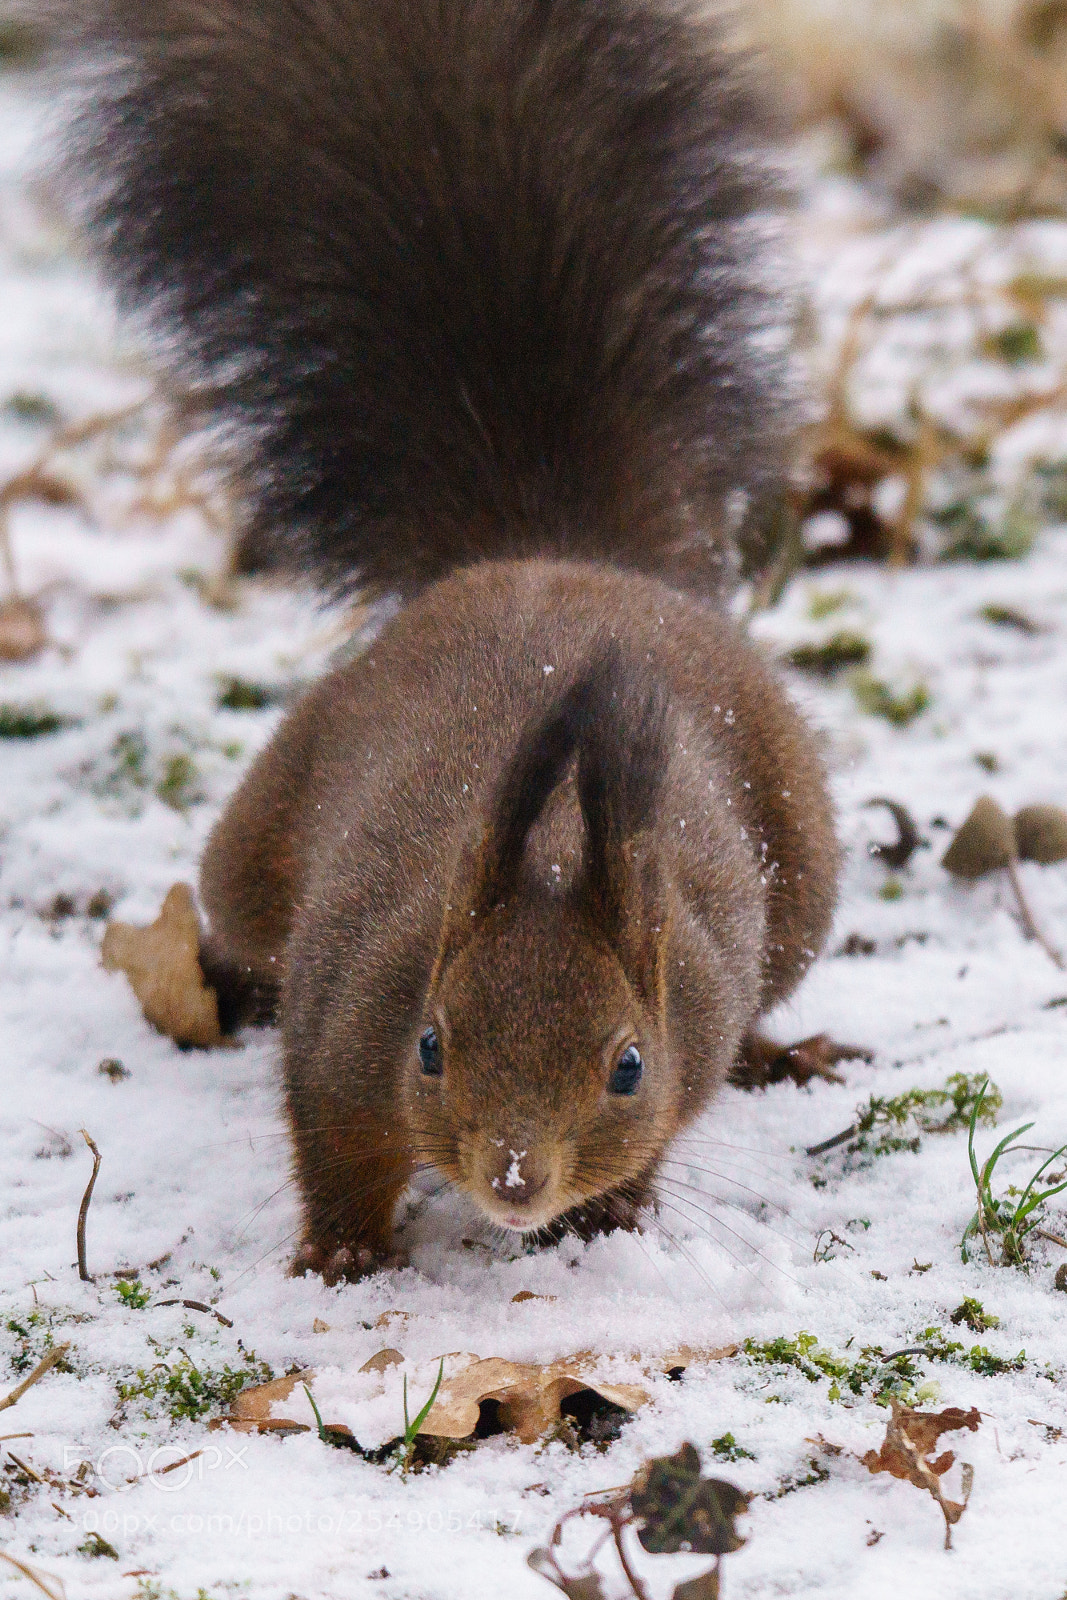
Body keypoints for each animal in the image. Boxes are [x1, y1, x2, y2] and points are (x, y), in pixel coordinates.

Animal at [66, 0, 844, 1273]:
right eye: (429, 1045)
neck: (548, 854)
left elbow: (648, 1152)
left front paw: (605, 1224)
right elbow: (331, 1149)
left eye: (628, 1065)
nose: (516, 1179)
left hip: (802, 874)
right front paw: (341, 1260)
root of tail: (548, 551)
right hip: (257, 841)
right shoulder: (343, 1035)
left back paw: (777, 1052)